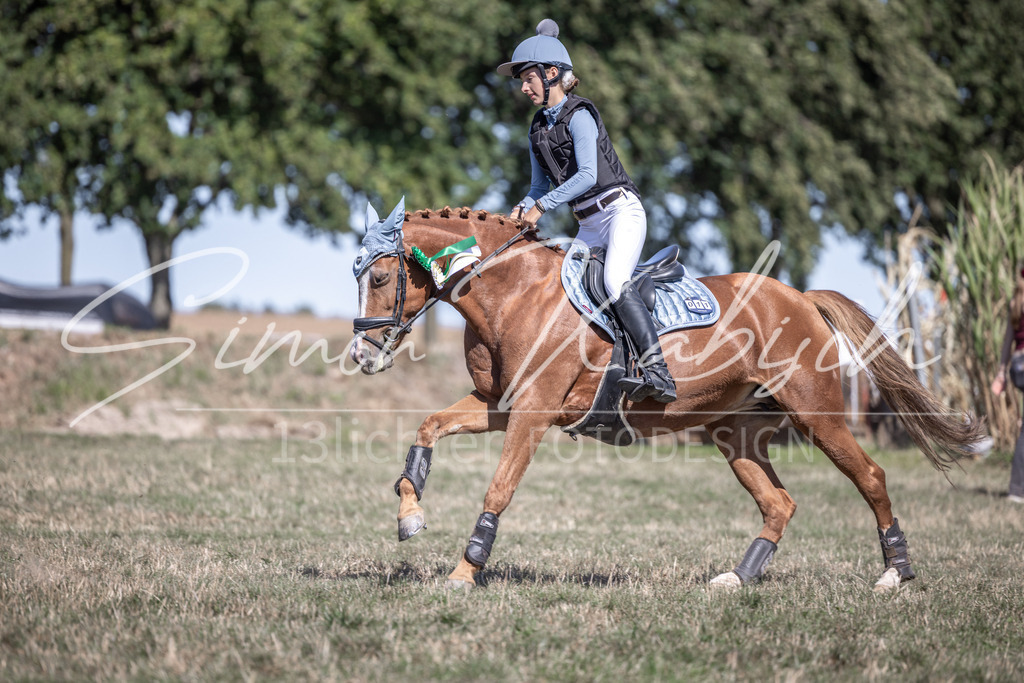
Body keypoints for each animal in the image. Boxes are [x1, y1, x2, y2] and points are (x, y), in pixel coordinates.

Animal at [349, 198, 984, 592]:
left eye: (379, 278)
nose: (362, 356)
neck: (512, 292)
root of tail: (799, 296)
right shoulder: (501, 408)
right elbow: (429, 428)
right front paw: (410, 517)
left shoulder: (531, 413)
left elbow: (498, 489)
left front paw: (464, 572)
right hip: (735, 432)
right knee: (778, 502)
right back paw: (737, 578)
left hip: (817, 415)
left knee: (870, 477)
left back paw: (895, 574)